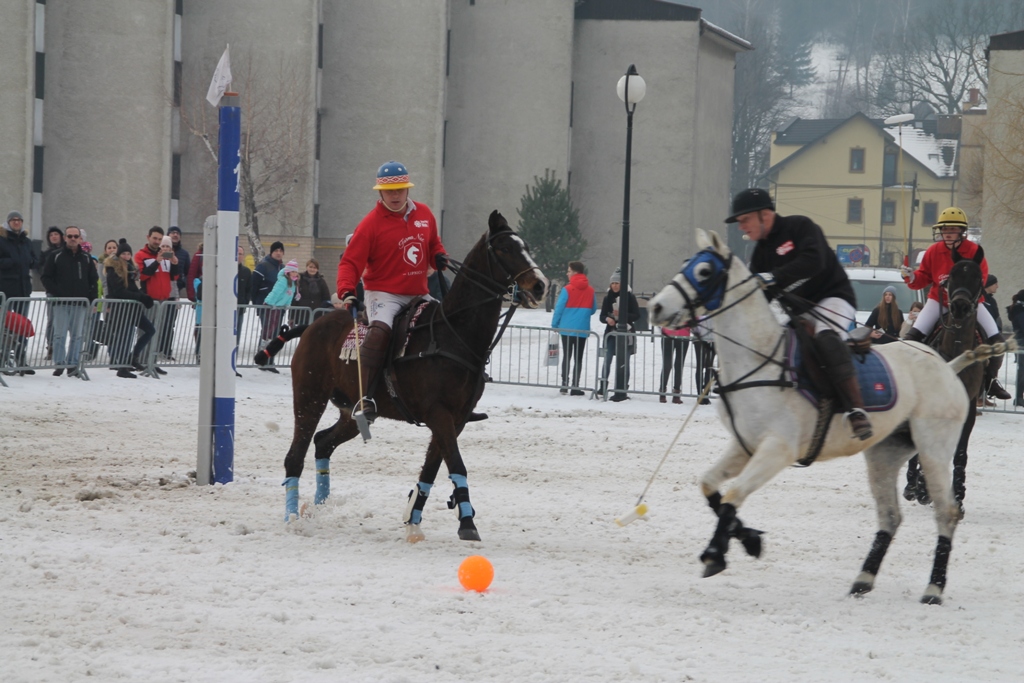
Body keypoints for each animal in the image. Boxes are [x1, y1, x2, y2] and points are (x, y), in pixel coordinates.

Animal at [258, 210, 547, 541]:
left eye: (526, 246)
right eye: (504, 249)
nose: (540, 285)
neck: (454, 333)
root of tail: (311, 325)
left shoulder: (456, 418)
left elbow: (432, 468)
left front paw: (414, 519)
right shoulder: (439, 413)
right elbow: (456, 463)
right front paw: (467, 523)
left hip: (352, 413)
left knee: (323, 442)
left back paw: (319, 507)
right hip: (309, 397)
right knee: (296, 453)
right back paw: (293, 517)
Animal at [904, 255, 986, 519]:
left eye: (977, 277)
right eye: (951, 276)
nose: (959, 307)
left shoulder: (968, 407)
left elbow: (960, 452)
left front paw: (958, 498)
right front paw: (921, 488)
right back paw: (912, 486)